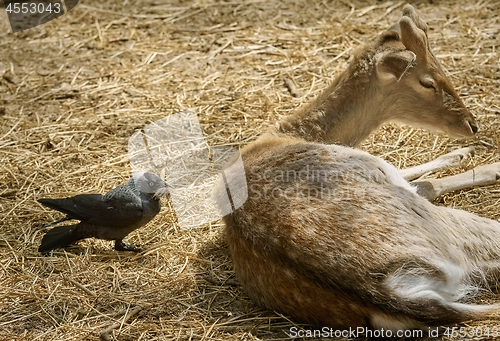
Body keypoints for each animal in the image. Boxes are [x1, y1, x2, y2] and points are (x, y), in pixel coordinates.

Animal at [216, 4, 500, 330]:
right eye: (427, 81)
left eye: (444, 68)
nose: (472, 125)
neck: (282, 135)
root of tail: (386, 291)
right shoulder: (377, 167)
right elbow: (426, 184)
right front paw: (489, 165)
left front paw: (461, 153)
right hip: (446, 227)